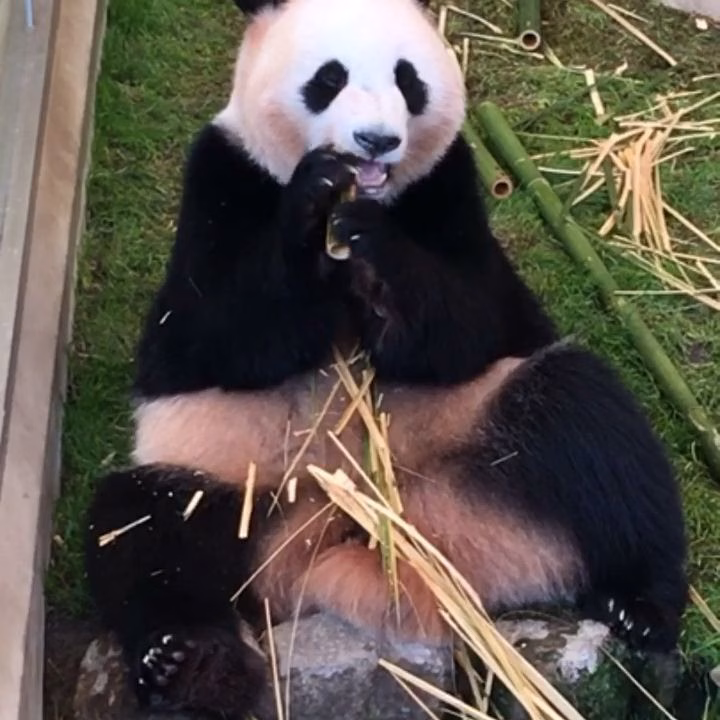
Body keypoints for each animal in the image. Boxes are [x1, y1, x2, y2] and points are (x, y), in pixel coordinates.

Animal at [83, 0, 689, 716]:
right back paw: (189, 662)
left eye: (408, 79)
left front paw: (374, 244)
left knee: (589, 427)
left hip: (481, 423)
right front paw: (313, 202)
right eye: (329, 78)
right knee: (145, 526)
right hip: (237, 482)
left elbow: (469, 323)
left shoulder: (451, 189)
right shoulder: (219, 180)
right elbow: (213, 332)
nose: (375, 141)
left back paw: (639, 606)